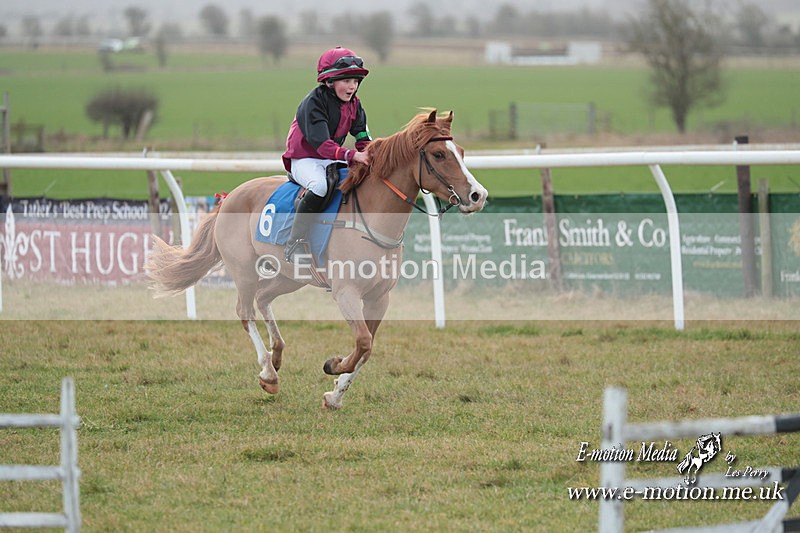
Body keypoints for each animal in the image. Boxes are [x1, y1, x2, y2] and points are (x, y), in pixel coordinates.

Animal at [146, 109, 488, 409]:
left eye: (460, 151)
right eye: (439, 155)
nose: (478, 196)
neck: (371, 219)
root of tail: (229, 197)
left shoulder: (379, 297)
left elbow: (367, 347)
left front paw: (334, 396)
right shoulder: (346, 292)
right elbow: (362, 342)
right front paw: (334, 365)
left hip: (290, 276)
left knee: (263, 298)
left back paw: (277, 355)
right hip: (243, 270)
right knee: (245, 311)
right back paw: (268, 371)